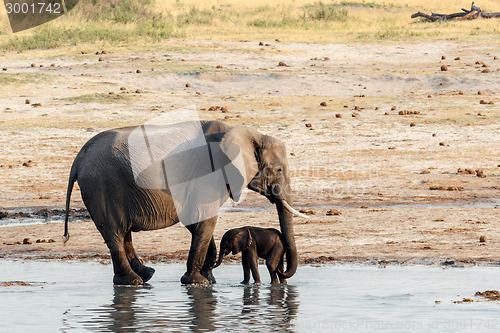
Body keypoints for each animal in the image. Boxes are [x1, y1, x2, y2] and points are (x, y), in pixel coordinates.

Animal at [62, 120, 304, 284]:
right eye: (279, 170)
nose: (281, 272)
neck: (245, 133)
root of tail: (78, 159)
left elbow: (197, 223)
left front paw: (209, 280)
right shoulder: (208, 175)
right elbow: (206, 220)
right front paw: (197, 282)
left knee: (123, 234)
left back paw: (146, 275)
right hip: (102, 187)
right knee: (115, 234)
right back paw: (133, 282)